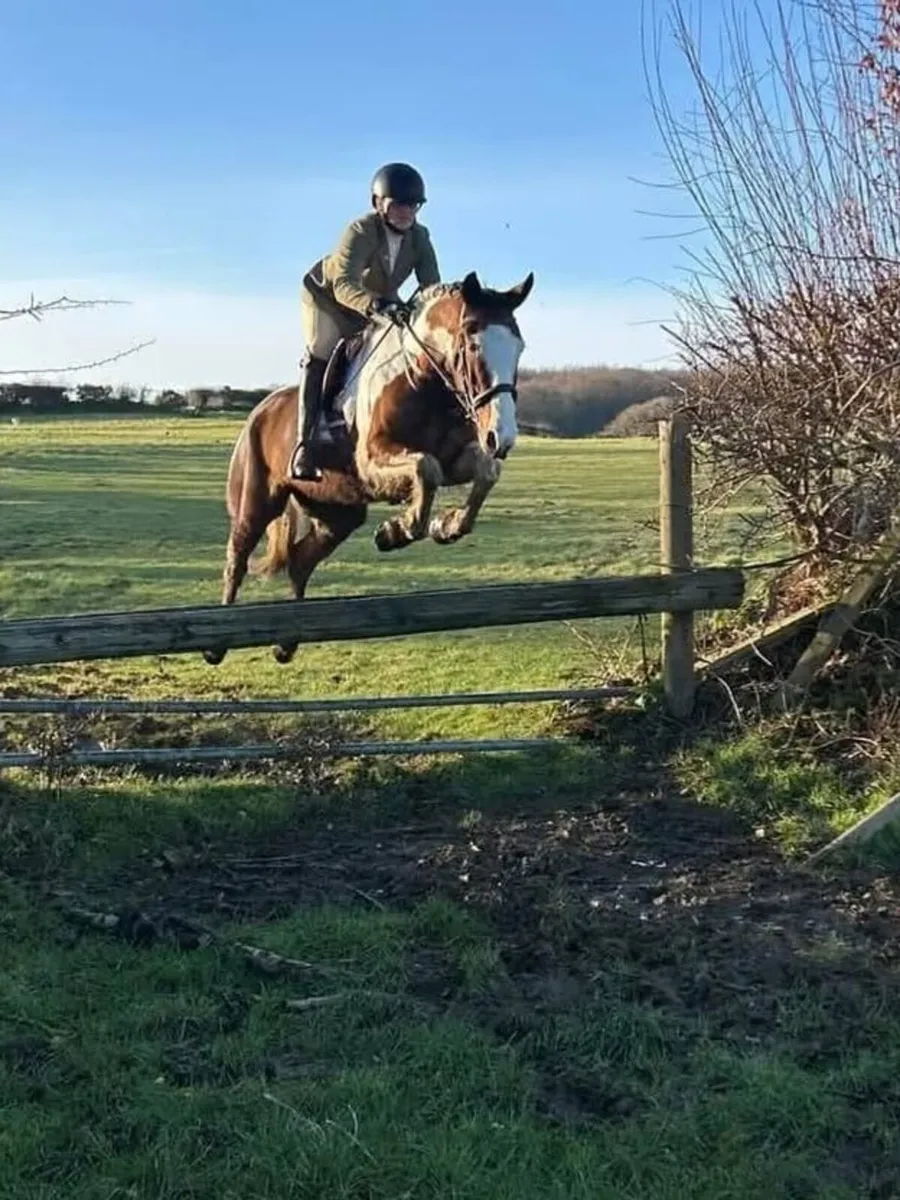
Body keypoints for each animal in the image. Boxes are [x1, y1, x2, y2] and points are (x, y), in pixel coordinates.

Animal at [202, 269, 534, 666]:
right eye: (472, 346)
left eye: (519, 348)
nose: (502, 437)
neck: (420, 380)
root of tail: (260, 410)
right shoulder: (372, 464)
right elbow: (426, 468)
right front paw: (397, 531)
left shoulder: (456, 458)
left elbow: (484, 471)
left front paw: (445, 526)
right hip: (255, 502)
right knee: (236, 558)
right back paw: (217, 641)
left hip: (337, 513)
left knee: (301, 560)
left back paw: (287, 641)